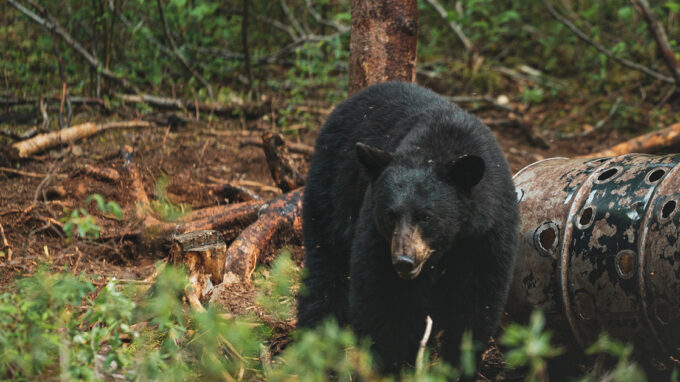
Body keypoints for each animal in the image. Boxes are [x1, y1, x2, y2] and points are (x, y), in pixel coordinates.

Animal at [298, 82, 520, 372]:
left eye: (426, 217)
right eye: (390, 215)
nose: (404, 261)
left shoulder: (487, 235)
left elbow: (475, 305)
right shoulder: (375, 234)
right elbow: (379, 300)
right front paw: (392, 365)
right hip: (333, 193)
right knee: (325, 266)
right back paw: (313, 339)